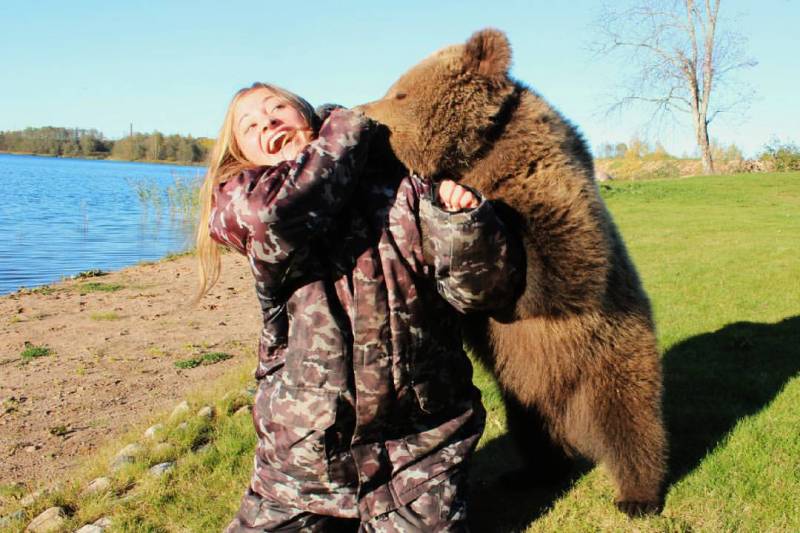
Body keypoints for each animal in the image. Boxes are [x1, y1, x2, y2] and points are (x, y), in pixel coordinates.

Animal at [360, 29, 664, 516]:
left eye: (399, 93)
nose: (359, 110)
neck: (476, 151)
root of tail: (569, 410)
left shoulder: (541, 174)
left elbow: (565, 260)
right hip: (521, 387)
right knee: (534, 434)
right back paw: (531, 472)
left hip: (610, 354)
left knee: (630, 423)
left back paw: (638, 495)